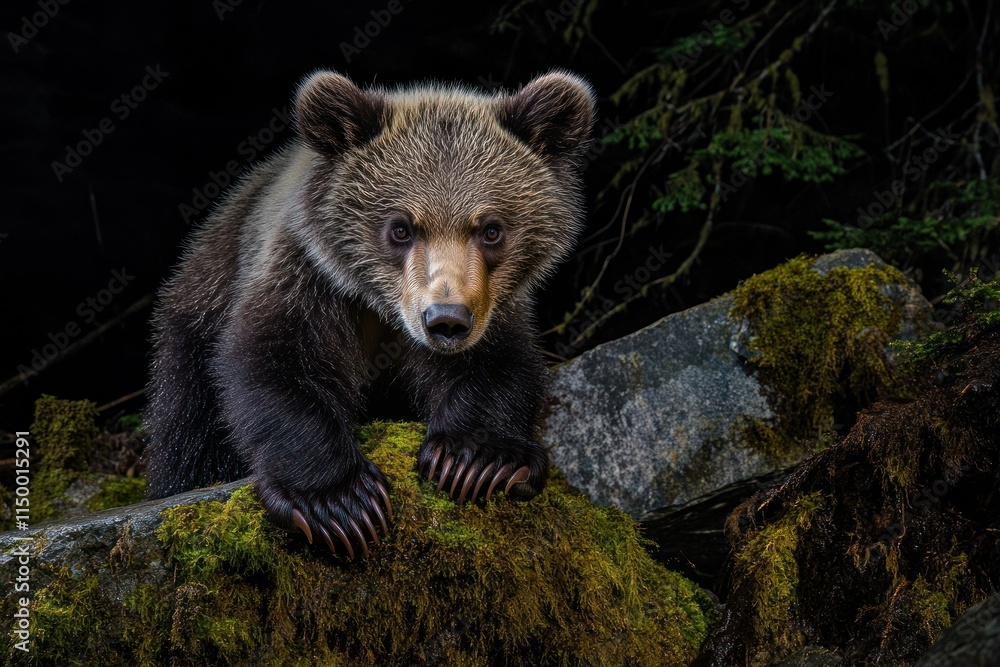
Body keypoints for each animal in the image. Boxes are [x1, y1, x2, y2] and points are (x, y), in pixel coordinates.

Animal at [145, 69, 596, 560]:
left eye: (491, 229)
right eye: (400, 228)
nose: (446, 319)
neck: (383, 310)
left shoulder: (493, 306)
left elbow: (502, 364)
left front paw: (476, 460)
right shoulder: (306, 279)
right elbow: (272, 362)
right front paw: (340, 503)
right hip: (195, 322)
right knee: (188, 434)